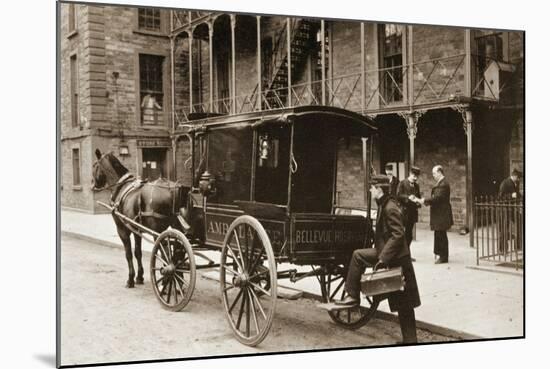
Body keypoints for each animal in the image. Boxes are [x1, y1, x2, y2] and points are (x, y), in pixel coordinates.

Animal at [92, 148, 190, 286]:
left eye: (95, 165)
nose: (93, 185)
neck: (121, 186)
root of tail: (173, 189)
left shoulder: (122, 229)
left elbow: (128, 253)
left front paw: (130, 279)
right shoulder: (136, 229)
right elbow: (138, 252)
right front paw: (139, 277)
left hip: (158, 232)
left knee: (166, 254)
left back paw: (167, 279)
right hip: (177, 228)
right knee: (178, 252)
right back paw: (178, 280)